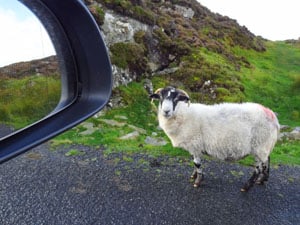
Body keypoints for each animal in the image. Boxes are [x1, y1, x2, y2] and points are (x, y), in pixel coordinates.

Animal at [151, 86, 280, 192]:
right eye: (161, 97)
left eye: (177, 98)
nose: (166, 111)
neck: (183, 114)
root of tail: (271, 115)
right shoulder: (194, 146)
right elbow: (194, 162)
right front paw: (193, 176)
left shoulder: (195, 143)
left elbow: (197, 163)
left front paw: (197, 181)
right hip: (265, 145)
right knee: (267, 161)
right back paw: (262, 179)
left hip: (260, 145)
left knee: (258, 168)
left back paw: (247, 186)